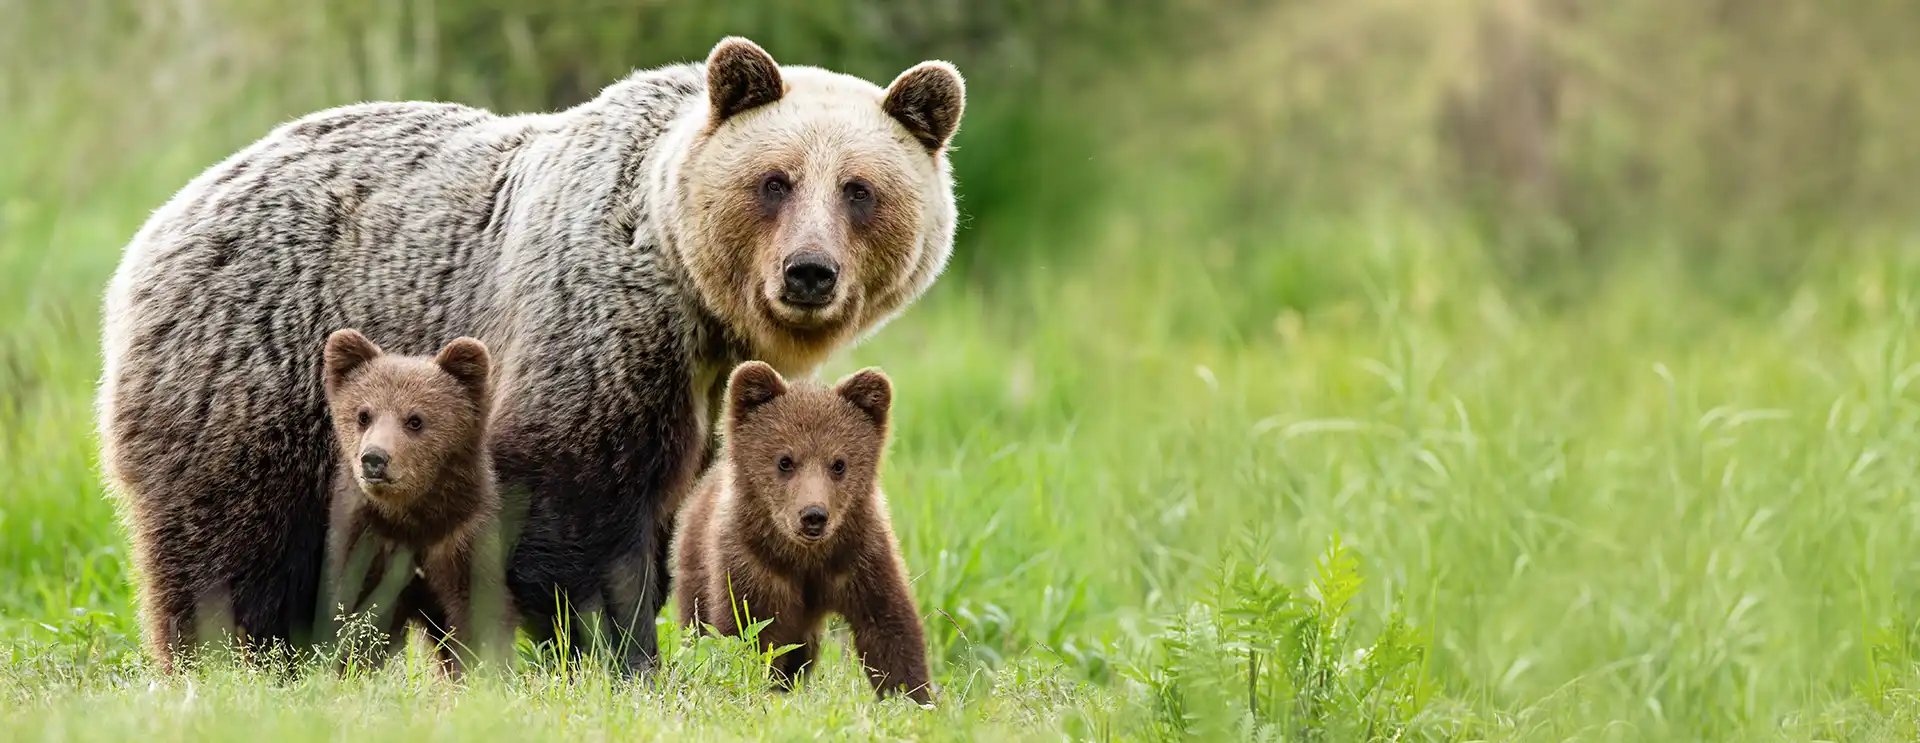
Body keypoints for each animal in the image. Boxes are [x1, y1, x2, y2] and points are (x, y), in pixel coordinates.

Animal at [315, 329, 515, 678]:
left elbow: (478, 615)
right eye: (363, 415)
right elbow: (359, 616)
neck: (413, 521)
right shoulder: (368, 542)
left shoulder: (462, 540)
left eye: (415, 420)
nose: (374, 459)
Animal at [674, 360, 933, 704]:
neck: (806, 559)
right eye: (785, 460)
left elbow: (890, 629)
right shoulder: (752, 567)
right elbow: (745, 633)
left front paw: (913, 697)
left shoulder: (861, 559)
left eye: (839, 463)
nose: (813, 515)